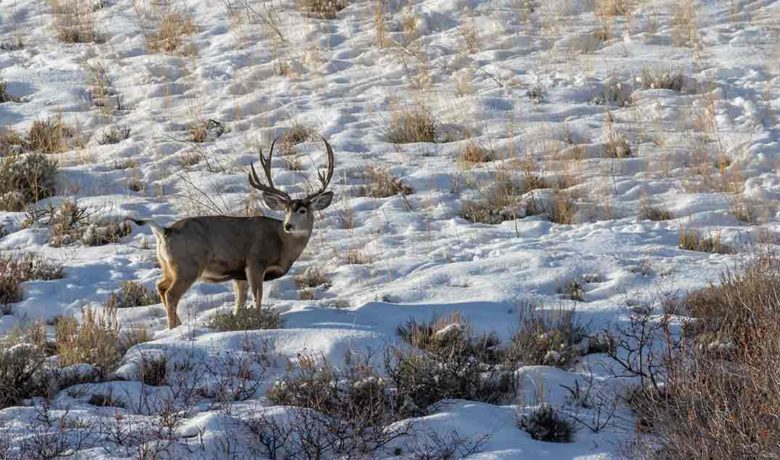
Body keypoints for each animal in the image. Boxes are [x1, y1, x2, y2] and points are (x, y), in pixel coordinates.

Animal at [130, 137, 335, 329]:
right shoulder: (254, 262)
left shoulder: (238, 275)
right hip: (188, 266)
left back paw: (177, 325)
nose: (288, 225)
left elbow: (239, 303)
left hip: (168, 266)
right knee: (171, 294)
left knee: (161, 287)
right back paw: (174, 328)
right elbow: (257, 298)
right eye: (286, 210)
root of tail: (165, 231)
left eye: (303, 210)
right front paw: (258, 322)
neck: (281, 244)